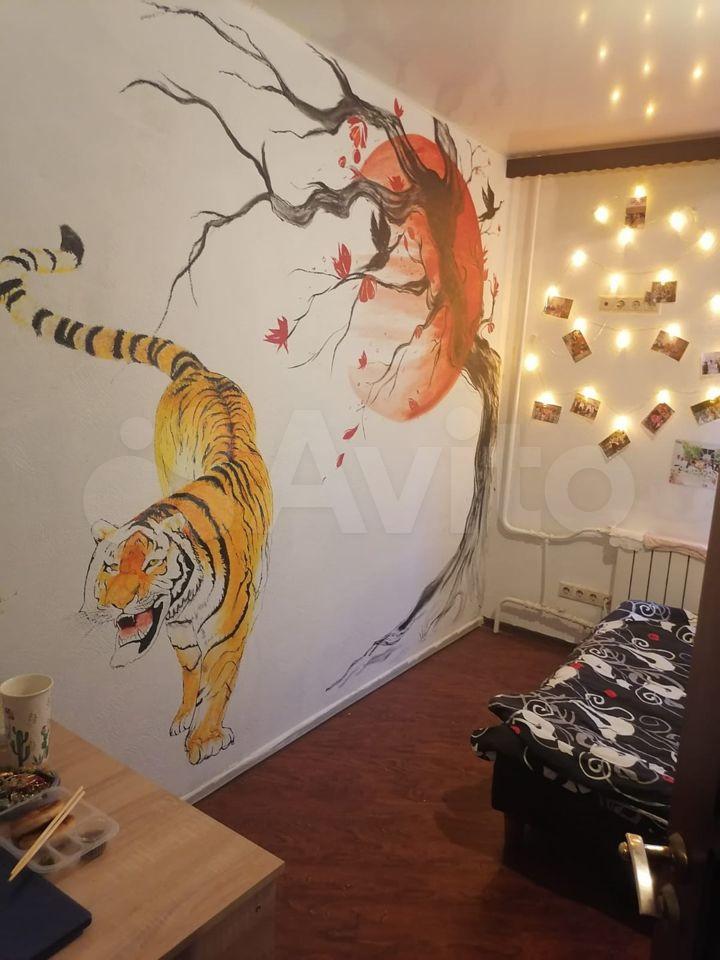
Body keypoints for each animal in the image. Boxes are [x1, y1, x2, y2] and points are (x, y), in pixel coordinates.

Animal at [0, 225, 272, 765]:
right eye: (108, 567)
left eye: (152, 565)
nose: (115, 606)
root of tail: (196, 369)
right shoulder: (181, 634)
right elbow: (190, 673)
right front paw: (184, 717)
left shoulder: (230, 631)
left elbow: (221, 681)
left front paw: (206, 738)